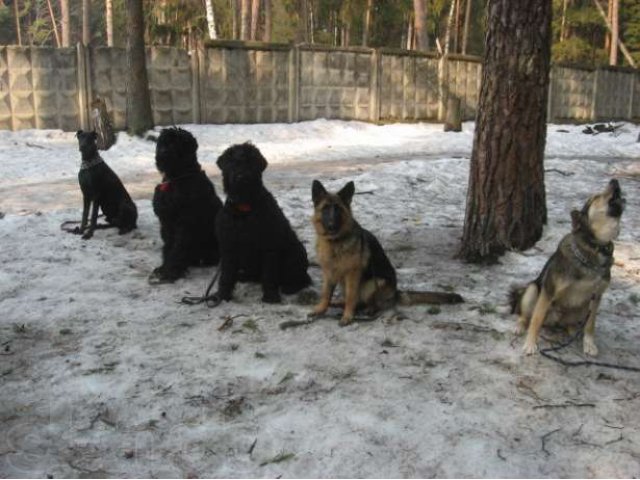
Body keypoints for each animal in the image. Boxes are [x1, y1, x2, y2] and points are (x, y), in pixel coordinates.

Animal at [149, 127, 224, 284]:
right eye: (163, 142)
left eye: (176, 143)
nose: (163, 153)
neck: (176, 178)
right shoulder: (167, 222)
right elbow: (169, 247)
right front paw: (164, 268)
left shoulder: (185, 223)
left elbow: (178, 248)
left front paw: (171, 271)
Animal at [214, 141, 312, 302]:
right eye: (232, 163)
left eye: (252, 162)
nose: (242, 177)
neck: (244, 208)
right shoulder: (229, 246)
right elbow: (226, 275)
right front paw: (222, 295)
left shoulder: (269, 246)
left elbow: (269, 274)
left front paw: (271, 296)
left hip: (296, 253)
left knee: (302, 278)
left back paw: (290, 287)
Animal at [308, 180, 460, 326]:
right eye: (325, 208)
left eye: (338, 209)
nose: (331, 225)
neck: (334, 243)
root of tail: (395, 293)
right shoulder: (328, 273)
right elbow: (326, 293)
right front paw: (321, 309)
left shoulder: (352, 274)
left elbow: (351, 297)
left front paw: (347, 316)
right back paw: (339, 303)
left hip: (374, 284)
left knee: (368, 303)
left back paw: (368, 310)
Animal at [512, 180, 628, 356]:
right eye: (596, 197)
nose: (614, 180)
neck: (595, 248)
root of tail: (553, 320)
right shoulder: (548, 291)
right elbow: (536, 320)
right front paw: (530, 344)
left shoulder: (597, 296)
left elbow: (590, 325)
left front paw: (589, 344)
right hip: (532, 290)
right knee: (527, 315)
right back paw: (519, 326)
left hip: (583, 307)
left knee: (571, 323)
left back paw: (573, 330)